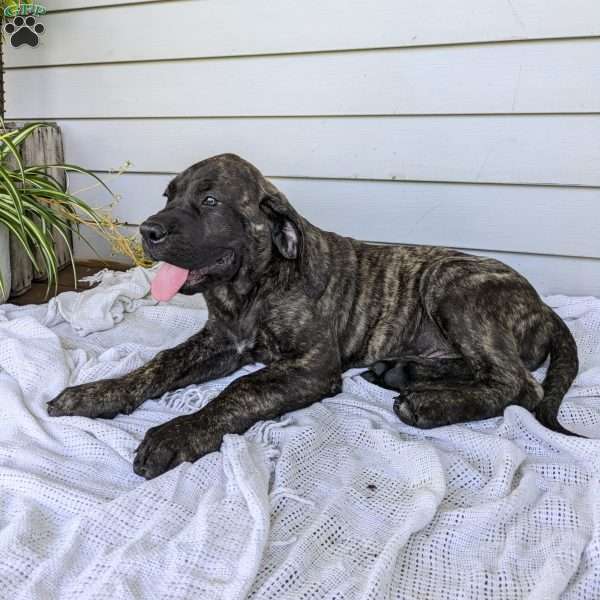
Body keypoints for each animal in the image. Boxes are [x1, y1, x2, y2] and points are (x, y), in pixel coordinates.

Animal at [48, 154, 580, 478]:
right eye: (168, 197)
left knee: (517, 385)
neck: (251, 288)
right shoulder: (219, 342)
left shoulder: (310, 365)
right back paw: (400, 372)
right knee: (481, 369)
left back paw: (429, 404)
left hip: (453, 285)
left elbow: (240, 390)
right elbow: (160, 363)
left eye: (211, 201)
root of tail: (542, 304)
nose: (147, 230)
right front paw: (96, 394)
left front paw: (177, 433)